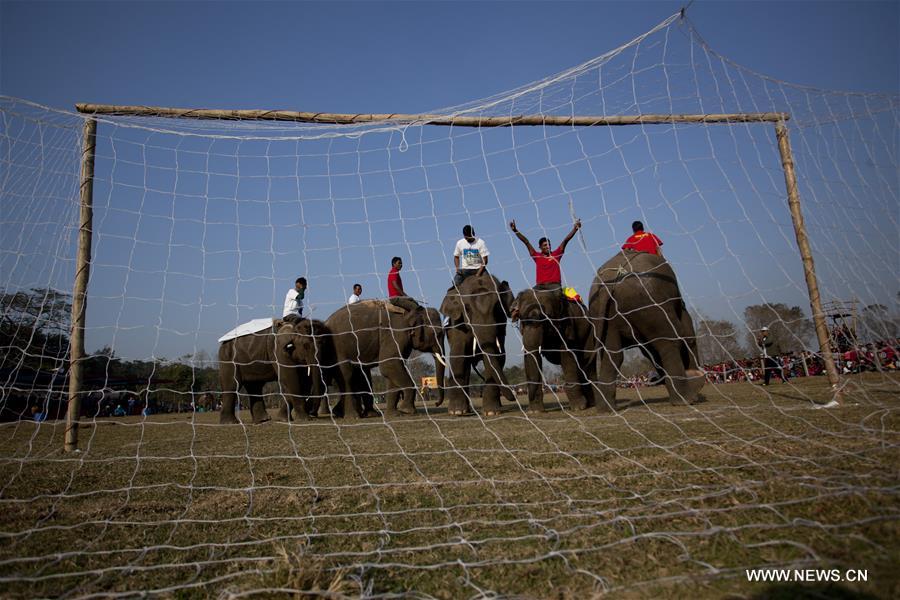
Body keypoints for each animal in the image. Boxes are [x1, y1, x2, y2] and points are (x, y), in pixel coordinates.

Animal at [440, 274, 516, 414]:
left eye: (497, 307)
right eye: (467, 309)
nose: (514, 395)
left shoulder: (501, 328)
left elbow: (498, 356)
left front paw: (491, 412)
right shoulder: (457, 324)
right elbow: (458, 355)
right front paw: (457, 412)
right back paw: (465, 410)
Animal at [510, 284, 596, 412]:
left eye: (546, 318)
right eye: (522, 319)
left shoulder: (567, 326)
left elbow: (567, 356)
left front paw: (578, 408)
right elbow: (531, 357)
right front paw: (535, 411)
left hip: (589, 331)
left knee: (586, 363)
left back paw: (593, 403)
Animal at [588, 250, 708, 412]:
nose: (655, 379)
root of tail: (608, 282)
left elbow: (648, 351)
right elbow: (683, 332)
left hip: (602, 312)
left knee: (613, 355)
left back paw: (607, 409)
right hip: (649, 302)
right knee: (669, 341)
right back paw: (685, 399)